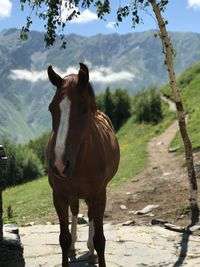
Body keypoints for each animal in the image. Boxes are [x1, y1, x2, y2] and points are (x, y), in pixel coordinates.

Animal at [46, 63, 119, 267]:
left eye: (84, 109)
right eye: (52, 109)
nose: (59, 164)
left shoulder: (99, 195)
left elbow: (100, 240)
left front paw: (95, 248)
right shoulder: (59, 196)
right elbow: (63, 239)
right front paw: (69, 244)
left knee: (91, 215)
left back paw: (90, 248)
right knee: (76, 209)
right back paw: (74, 244)